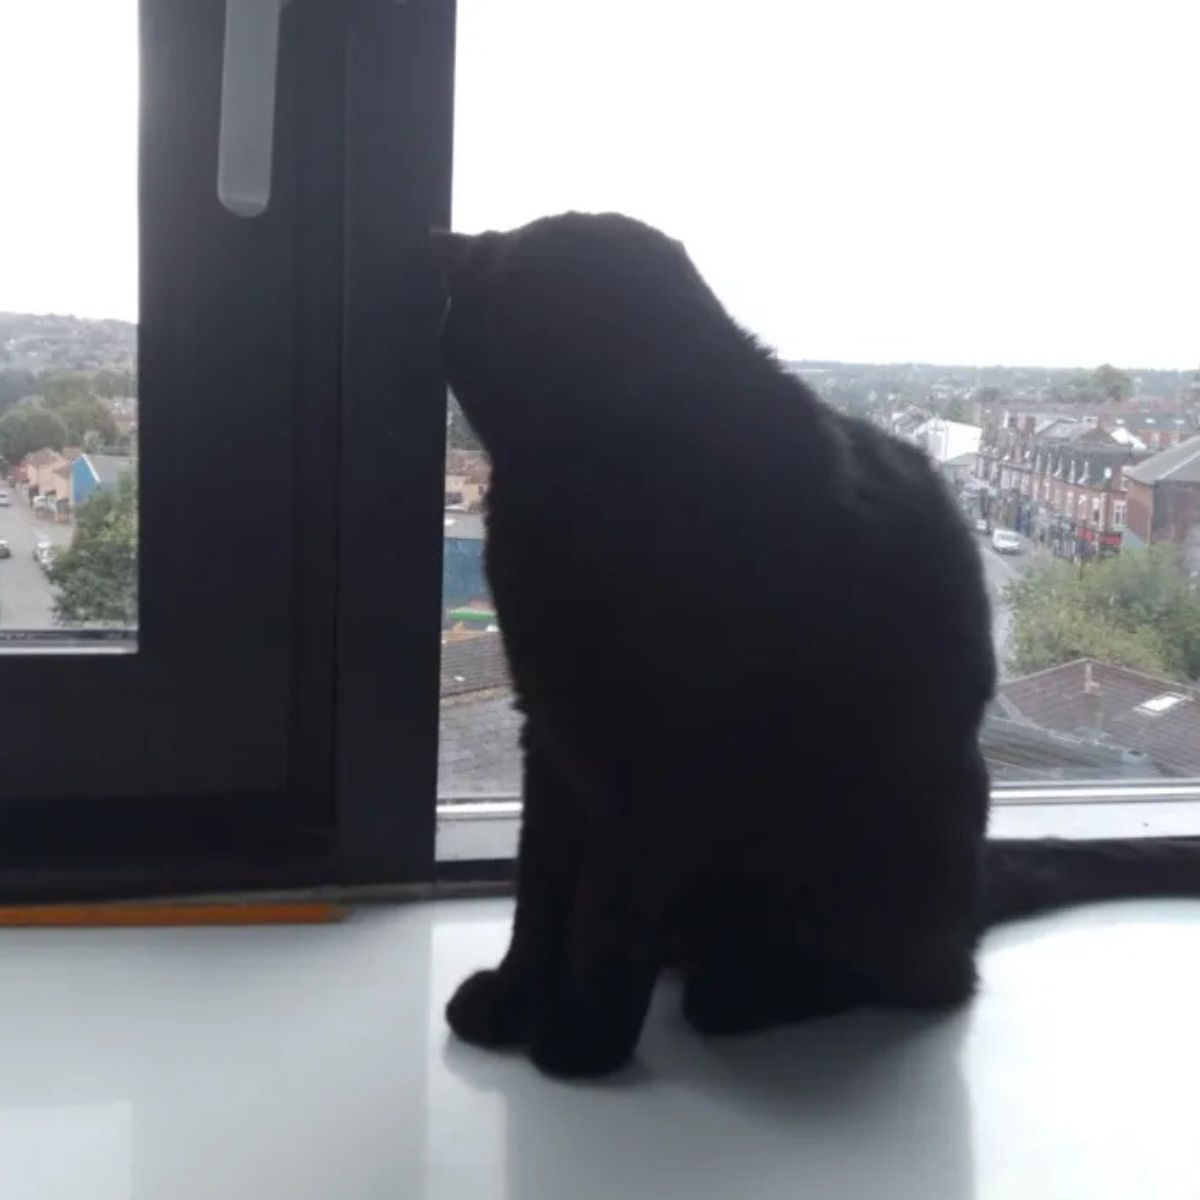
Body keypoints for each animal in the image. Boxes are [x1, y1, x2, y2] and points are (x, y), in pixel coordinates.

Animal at [436, 213, 1200, 1080]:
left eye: (476, 301)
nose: (445, 252)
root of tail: (975, 878)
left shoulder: (654, 763)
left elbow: (604, 908)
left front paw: (579, 1040)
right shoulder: (553, 733)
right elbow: (540, 890)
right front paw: (514, 998)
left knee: (931, 976)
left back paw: (742, 994)